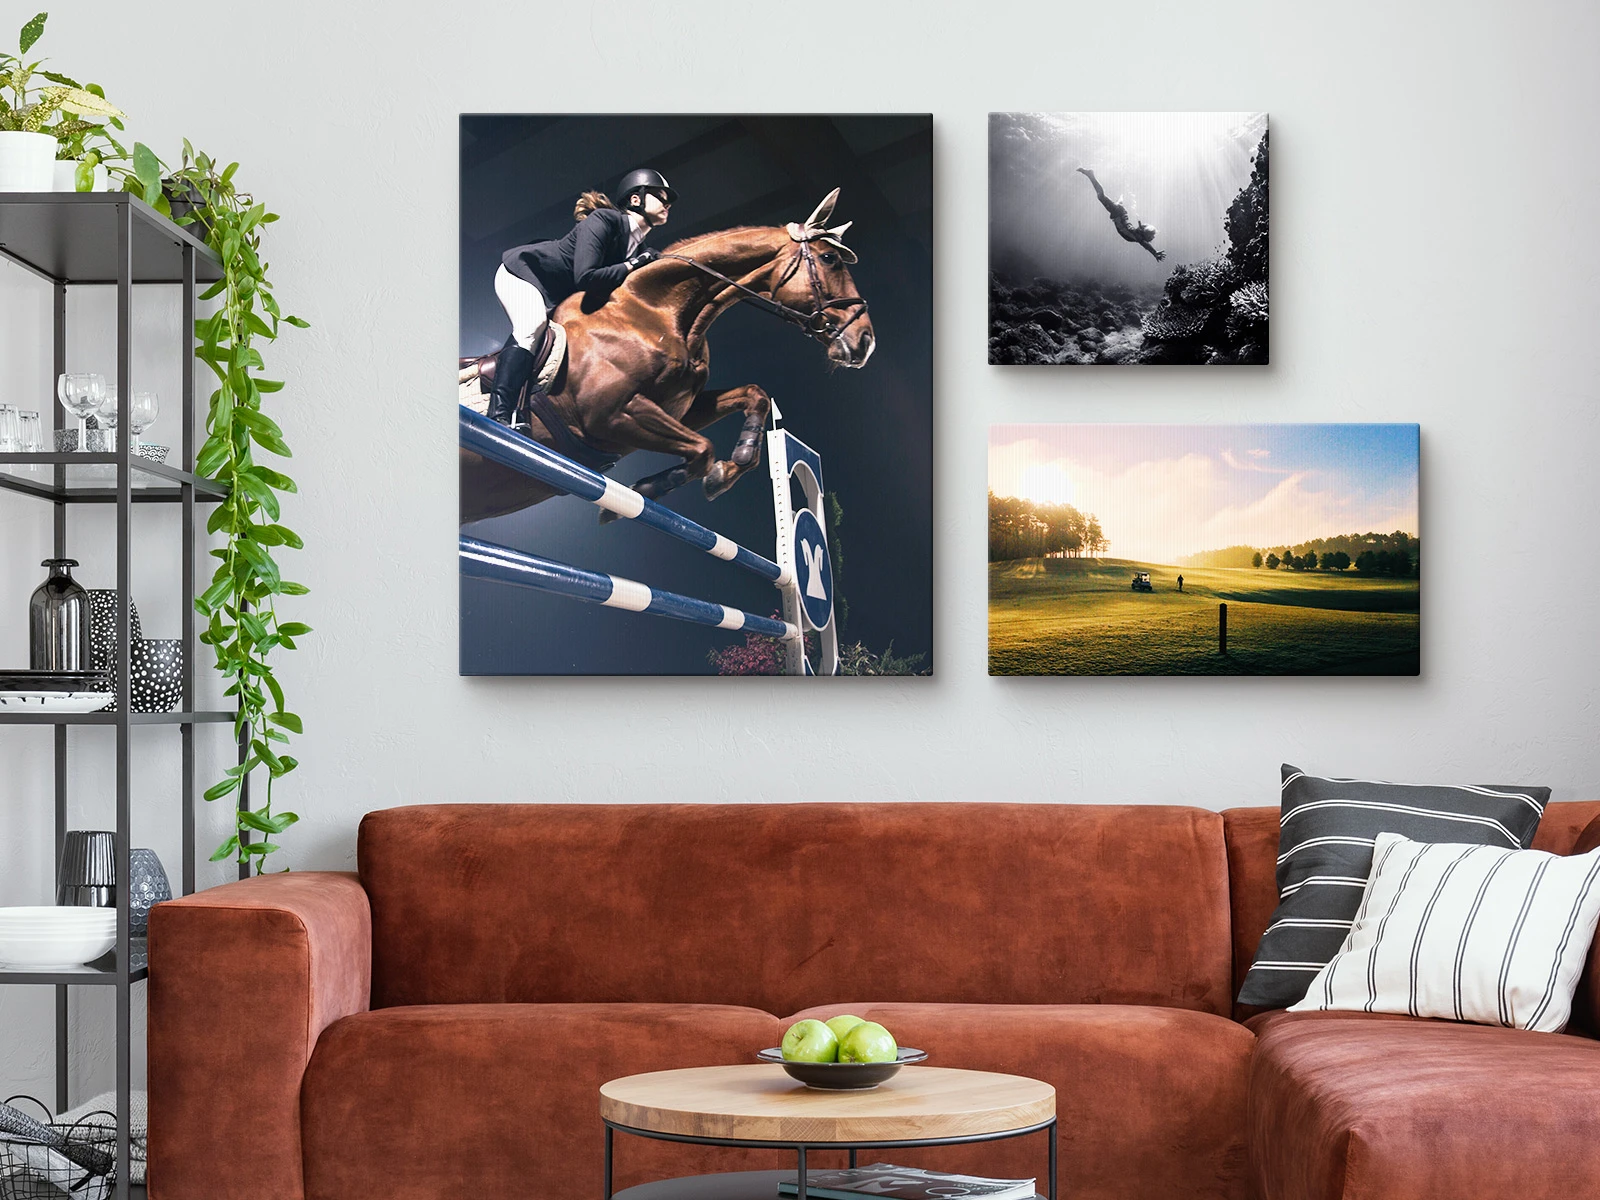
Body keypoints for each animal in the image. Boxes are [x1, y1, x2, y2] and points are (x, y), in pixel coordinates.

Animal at [460, 190, 876, 524]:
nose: (866, 342)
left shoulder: (679, 408)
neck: (656, 311)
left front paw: (734, 463)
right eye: (829, 258)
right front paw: (643, 493)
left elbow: (754, 395)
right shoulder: (612, 414)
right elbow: (703, 449)